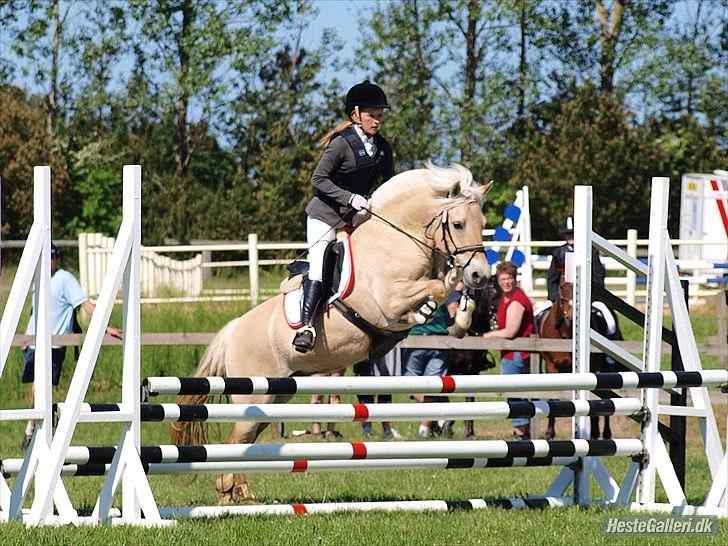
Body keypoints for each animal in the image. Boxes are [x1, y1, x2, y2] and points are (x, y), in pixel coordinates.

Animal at [169, 164, 494, 504]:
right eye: (458, 224)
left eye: (483, 224)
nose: (480, 275)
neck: (396, 241)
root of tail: (232, 332)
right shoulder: (390, 301)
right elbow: (436, 289)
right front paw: (428, 310)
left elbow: (447, 285)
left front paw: (460, 320)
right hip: (254, 394)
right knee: (235, 440)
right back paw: (230, 493)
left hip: (274, 396)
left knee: (243, 441)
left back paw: (238, 493)